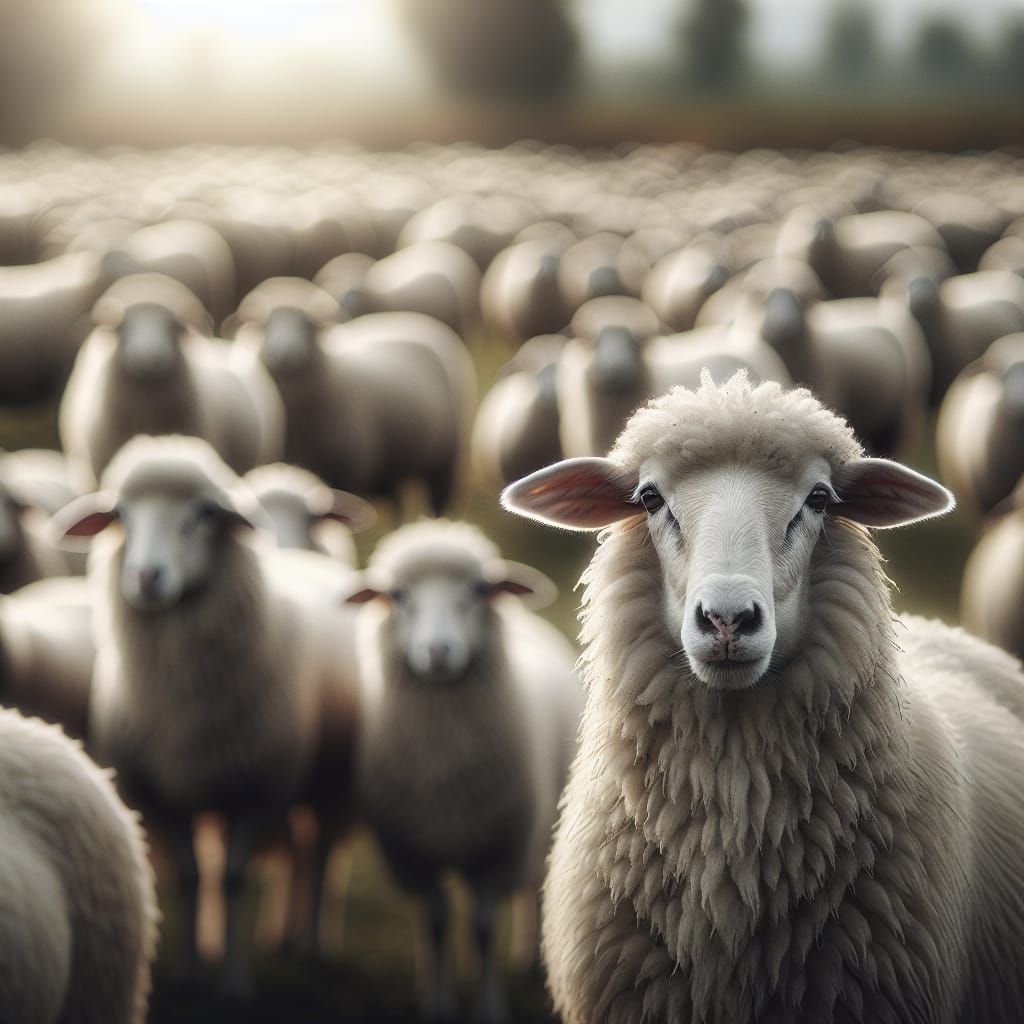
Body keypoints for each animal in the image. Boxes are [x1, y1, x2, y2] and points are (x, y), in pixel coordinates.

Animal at [53, 435, 361, 992]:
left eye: (203, 515)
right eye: (121, 515)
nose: (146, 577)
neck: (184, 695)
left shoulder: (257, 789)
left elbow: (234, 879)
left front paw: (235, 979)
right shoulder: (162, 794)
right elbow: (194, 877)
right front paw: (195, 969)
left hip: (328, 779)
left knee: (321, 851)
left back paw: (309, 941)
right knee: (298, 853)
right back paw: (280, 934)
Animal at [233, 280, 477, 515]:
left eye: (308, 325)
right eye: (265, 324)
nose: (284, 354)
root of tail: (418, 318)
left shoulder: (347, 477)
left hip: (446, 461)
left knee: (439, 501)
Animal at [345, 519, 582, 1023]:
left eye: (478, 590)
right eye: (397, 595)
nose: (438, 651)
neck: (445, 762)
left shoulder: (497, 850)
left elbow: (482, 930)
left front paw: (489, 1005)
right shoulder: (413, 853)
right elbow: (436, 923)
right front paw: (437, 1003)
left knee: (533, 887)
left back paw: (531, 959)